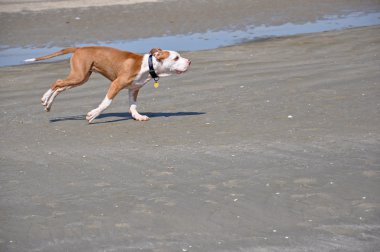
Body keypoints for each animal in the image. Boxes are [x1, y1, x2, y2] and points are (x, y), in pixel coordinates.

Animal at [24, 47, 190, 123]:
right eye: (176, 58)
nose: (189, 61)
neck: (148, 65)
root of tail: (78, 48)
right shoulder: (116, 84)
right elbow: (106, 103)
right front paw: (93, 115)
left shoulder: (133, 89)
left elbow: (133, 106)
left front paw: (137, 116)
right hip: (79, 76)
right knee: (57, 82)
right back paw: (45, 98)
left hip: (81, 78)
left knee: (60, 87)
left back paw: (48, 104)